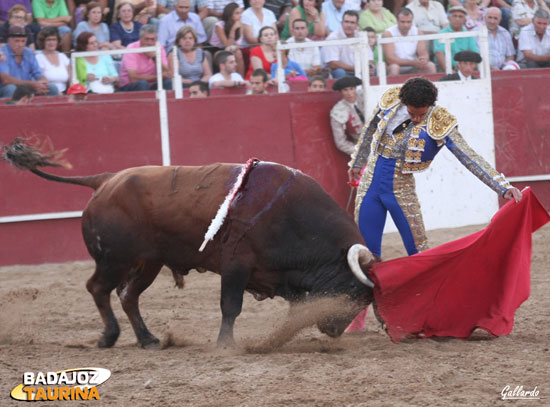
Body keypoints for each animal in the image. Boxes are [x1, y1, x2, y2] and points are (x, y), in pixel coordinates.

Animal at [2, 139, 378, 348]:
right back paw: (109, 337)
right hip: (114, 260)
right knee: (98, 288)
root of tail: (106, 180)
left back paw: (148, 340)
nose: (334, 330)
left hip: (147, 263)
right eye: (353, 293)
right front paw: (225, 344)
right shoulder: (236, 265)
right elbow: (231, 306)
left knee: (127, 296)